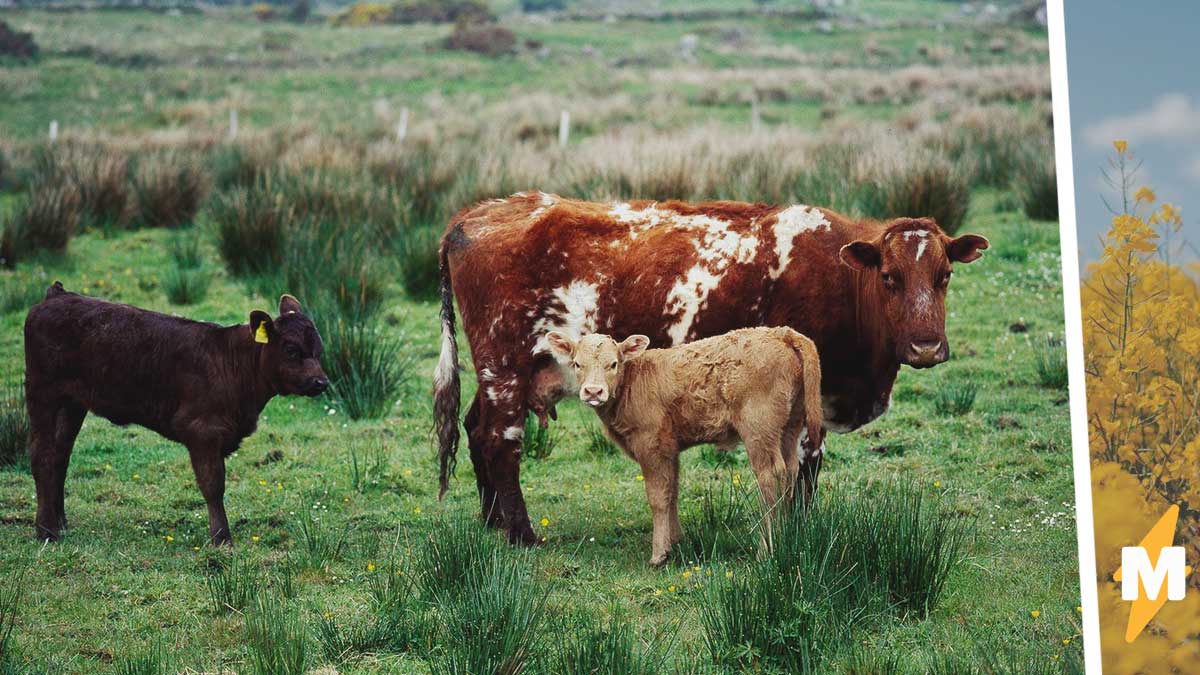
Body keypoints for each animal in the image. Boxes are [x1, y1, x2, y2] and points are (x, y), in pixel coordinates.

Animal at [27, 282, 328, 540]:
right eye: (291, 349)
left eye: (319, 349)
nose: (321, 382)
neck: (234, 364)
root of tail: (58, 295)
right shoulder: (202, 431)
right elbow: (213, 485)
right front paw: (222, 538)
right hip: (42, 394)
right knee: (42, 454)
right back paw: (47, 531)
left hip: (72, 404)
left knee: (60, 456)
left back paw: (61, 522)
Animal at [547, 326, 820, 562]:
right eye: (577, 363)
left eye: (613, 364)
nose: (593, 392)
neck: (633, 382)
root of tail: (782, 333)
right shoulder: (670, 448)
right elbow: (672, 491)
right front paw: (676, 539)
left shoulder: (650, 445)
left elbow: (657, 496)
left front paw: (659, 553)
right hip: (789, 427)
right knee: (791, 470)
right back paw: (788, 534)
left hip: (758, 431)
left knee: (771, 476)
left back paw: (767, 547)